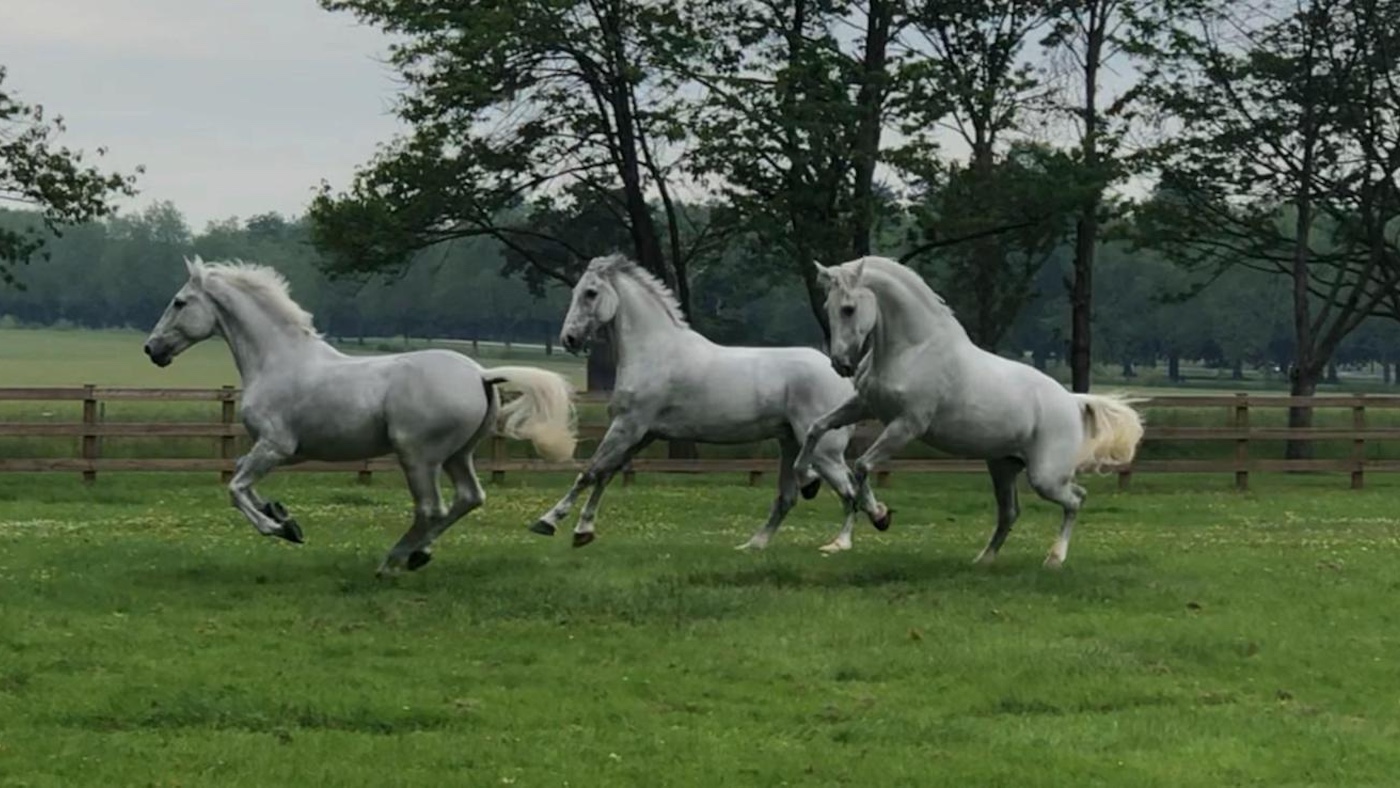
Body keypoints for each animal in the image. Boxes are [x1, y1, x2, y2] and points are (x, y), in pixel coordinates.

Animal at [142, 256, 578, 575]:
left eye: (179, 302)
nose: (151, 349)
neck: (277, 360)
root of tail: (481, 374)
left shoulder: (275, 446)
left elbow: (235, 489)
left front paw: (278, 527)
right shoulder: (285, 453)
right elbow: (240, 476)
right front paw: (282, 516)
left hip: (417, 456)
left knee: (431, 508)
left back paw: (393, 561)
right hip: (459, 455)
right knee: (469, 498)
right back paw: (418, 554)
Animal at [527, 253, 891, 552]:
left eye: (590, 292)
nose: (569, 339)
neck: (655, 352)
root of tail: (843, 376)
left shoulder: (629, 426)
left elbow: (589, 472)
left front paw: (547, 522)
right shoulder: (642, 433)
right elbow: (606, 473)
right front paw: (583, 532)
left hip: (823, 449)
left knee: (849, 489)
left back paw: (841, 542)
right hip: (792, 444)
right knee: (791, 497)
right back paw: (756, 544)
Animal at [795, 255, 1145, 568]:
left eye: (848, 308)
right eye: (827, 307)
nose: (841, 364)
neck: (914, 349)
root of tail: (1072, 400)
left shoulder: (907, 424)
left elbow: (862, 465)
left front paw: (879, 515)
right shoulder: (864, 405)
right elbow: (816, 429)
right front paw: (806, 480)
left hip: (1045, 477)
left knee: (1076, 498)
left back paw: (1054, 559)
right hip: (1003, 467)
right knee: (1010, 512)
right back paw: (983, 560)